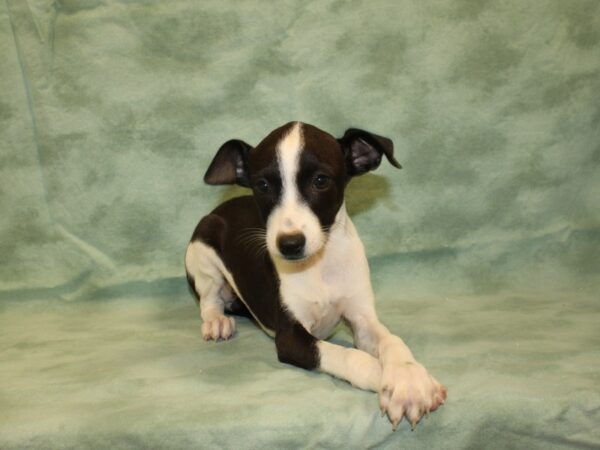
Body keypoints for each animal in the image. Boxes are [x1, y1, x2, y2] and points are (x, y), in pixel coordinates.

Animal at [186, 120, 446, 428]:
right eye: (263, 185)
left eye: (321, 181)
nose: (289, 244)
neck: (319, 266)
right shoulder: (290, 339)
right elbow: (348, 355)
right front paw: (387, 382)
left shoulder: (361, 319)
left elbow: (391, 340)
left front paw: (410, 380)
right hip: (202, 249)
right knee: (209, 299)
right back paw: (217, 321)